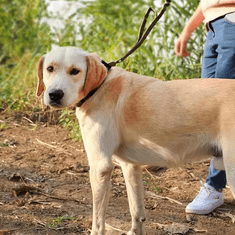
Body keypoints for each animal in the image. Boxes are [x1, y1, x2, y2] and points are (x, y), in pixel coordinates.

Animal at [36, 46, 235, 235]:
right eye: (50, 68)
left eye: (75, 71)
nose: (54, 94)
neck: (99, 86)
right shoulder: (130, 166)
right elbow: (136, 210)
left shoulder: (100, 167)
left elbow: (98, 222)